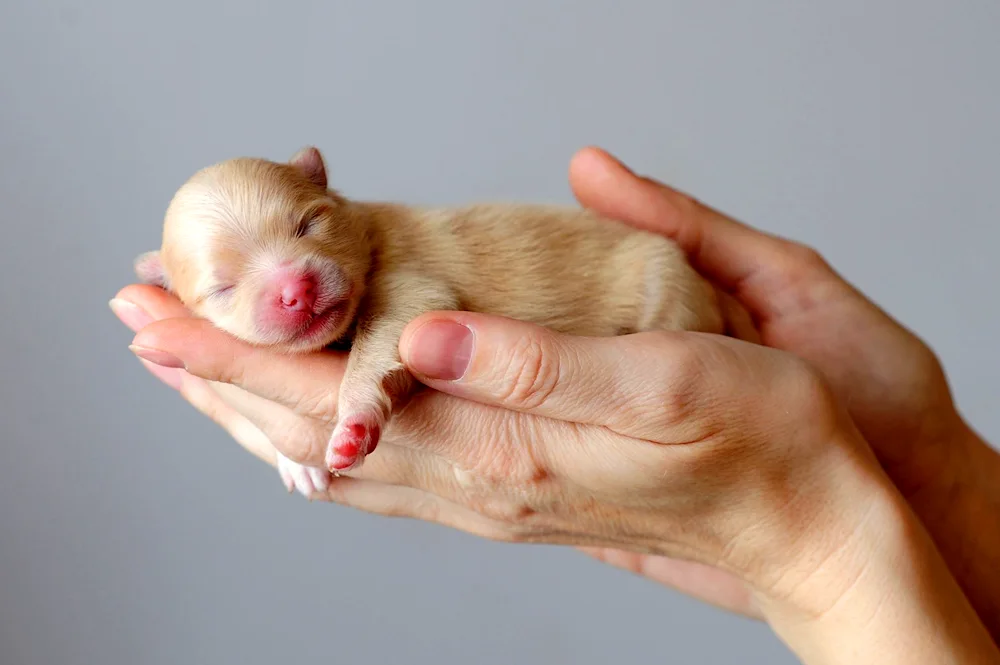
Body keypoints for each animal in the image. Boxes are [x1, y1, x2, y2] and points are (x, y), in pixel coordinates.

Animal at [135, 148, 728, 496]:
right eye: (223, 288)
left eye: (308, 224)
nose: (295, 291)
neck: (367, 235)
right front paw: (297, 462)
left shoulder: (413, 287)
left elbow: (385, 336)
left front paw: (351, 426)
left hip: (667, 283)